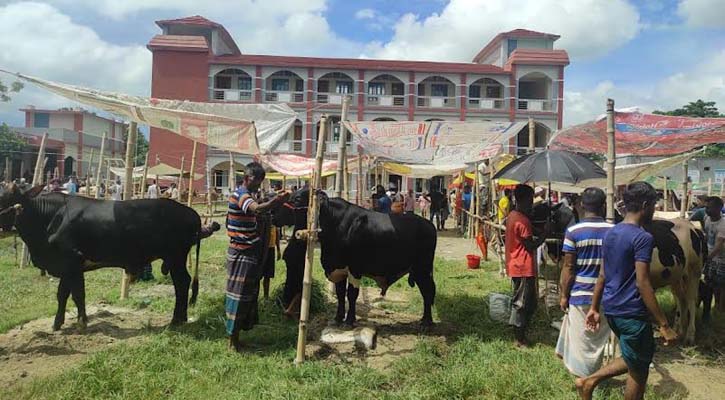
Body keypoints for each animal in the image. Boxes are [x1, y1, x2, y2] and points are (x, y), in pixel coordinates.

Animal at [0, 184, 219, 332]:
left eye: (7, 200)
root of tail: (190, 211)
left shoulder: (71, 261)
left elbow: (72, 295)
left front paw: (76, 323)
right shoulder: (70, 267)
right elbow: (69, 294)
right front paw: (65, 322)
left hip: (175, 257)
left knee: (182, 283)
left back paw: (175, 320)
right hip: (176, 258)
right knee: (184, 283)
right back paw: (181, 318)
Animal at [274, 189, 438, 326]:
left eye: (297, 199)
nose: (275, 216)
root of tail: (429, 225)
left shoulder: (355, 268)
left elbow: (352, 294)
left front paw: (350, 320)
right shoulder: (339, 269)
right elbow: (341, 294)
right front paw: (338, 318)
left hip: (423, 268)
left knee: (428, 291)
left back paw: (427, 321)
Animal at [528, 202, 704, 346]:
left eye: (538, 209)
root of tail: (694, 227)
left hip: (694, 271)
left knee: (690, 300)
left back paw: (689, 335)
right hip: (677, 276)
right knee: (680, 299)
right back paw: (678, 329)